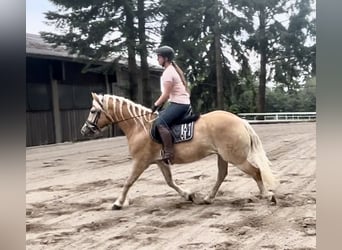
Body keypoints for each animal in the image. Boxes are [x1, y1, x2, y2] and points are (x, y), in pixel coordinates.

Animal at [81, 92, 280, 209]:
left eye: (93, 111)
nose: (84, 130)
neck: (140, 127)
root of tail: (241, 121)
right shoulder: (160, 161)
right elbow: (170, 182)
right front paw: (188, 195)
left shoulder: (141, 161)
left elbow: (128, 182)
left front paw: (118, 203)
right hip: (223, 156)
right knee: (222, 175)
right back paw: (208, 198)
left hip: (236, 158)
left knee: (255, 171)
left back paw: (267, 196)